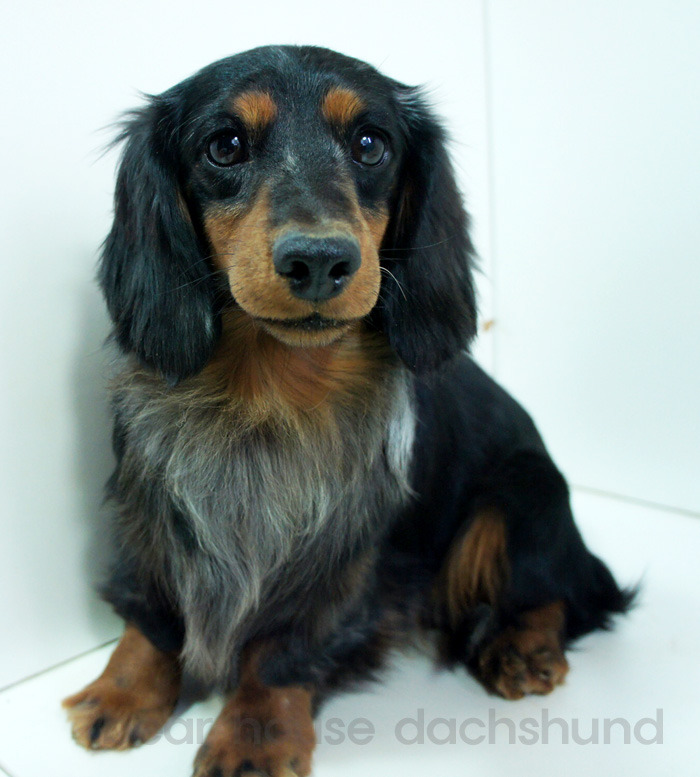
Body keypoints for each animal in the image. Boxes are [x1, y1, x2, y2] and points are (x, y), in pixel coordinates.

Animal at [63, 45, 633, 776]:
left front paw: (253, 734)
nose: (318, 260)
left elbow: (281, 651)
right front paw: (125, 688)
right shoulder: (153, 505)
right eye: (225, 145)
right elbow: (150, 613)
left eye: (370, 144)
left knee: (563, 589)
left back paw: (522, 646)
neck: (267, 397)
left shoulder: (339, 557)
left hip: (525, 491)